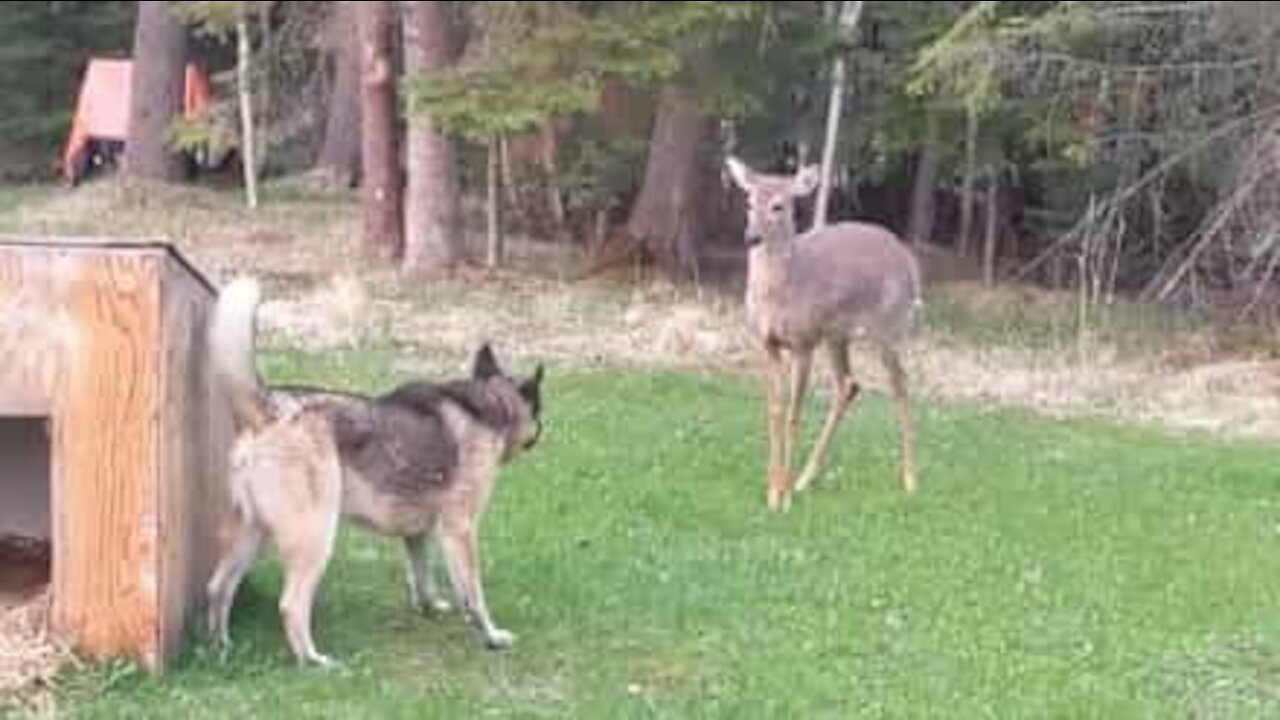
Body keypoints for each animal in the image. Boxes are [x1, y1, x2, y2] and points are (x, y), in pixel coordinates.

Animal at [203, 275, 540, 666]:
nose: (543, 433)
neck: (490, 404)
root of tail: (270, 411)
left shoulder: (417, 534)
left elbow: (422, 577)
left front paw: (429, 607)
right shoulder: (460, 529)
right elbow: (473, 595)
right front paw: (491, 635)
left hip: (253, 536)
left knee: (218, 588)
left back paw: (222, 649)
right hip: (315, 537)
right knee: (290, 605)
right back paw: (315, 662)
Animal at [721, 155, 921, 509]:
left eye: (779, 205)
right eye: (749, 202)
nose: (751, 237)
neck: (780, 293)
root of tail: (911, 263)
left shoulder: (804, 341)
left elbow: (793, 413)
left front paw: (784, 498)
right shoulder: (767, 343)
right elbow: (774, 410)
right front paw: (773, 491)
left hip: (888, 326)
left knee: (900, 383)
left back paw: (910, 480)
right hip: (837, 335)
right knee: (849, 384)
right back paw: (805, 479)